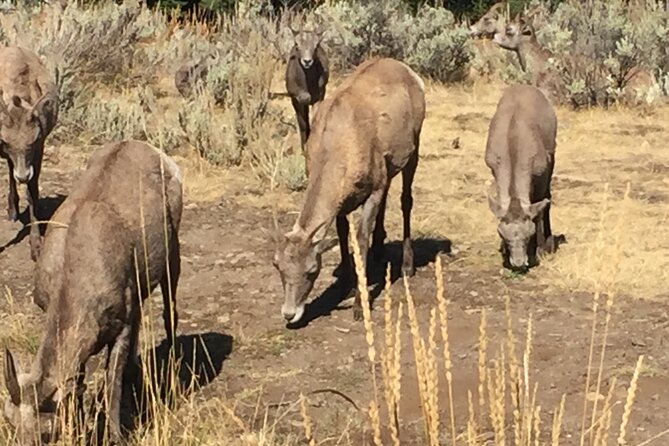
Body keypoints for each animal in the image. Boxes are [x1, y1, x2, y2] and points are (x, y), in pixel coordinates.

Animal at [0, 44, 58, 262]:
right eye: (5, 141)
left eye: (32, 141)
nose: (23, 176)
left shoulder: (38, 153)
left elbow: (32, 194)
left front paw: (36, 247)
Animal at [5, 140, 184, 446]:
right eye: (11, 425)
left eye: (44, 434)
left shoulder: (120, 329)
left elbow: (111, 381)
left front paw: (115, 435)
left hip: (172, 257)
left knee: (170, 309)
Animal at [272, 57, 422, 324]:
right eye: (277, 265)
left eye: (312, 270)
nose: (289, 313)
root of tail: (410, 73)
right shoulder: (343, 202)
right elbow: (343, 234)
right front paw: (348, 285)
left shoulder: (373, 192)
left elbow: (360, 240)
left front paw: (359, 306)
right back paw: (379, 250)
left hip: (413, 152)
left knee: (406, 200)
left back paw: (407, 266)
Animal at [482, 84, 556, 272]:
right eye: (503, 235)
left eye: (529, 235)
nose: (518, 262)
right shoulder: (494, 169)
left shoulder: (540, 172)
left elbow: (540, 209)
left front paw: (539, 249)